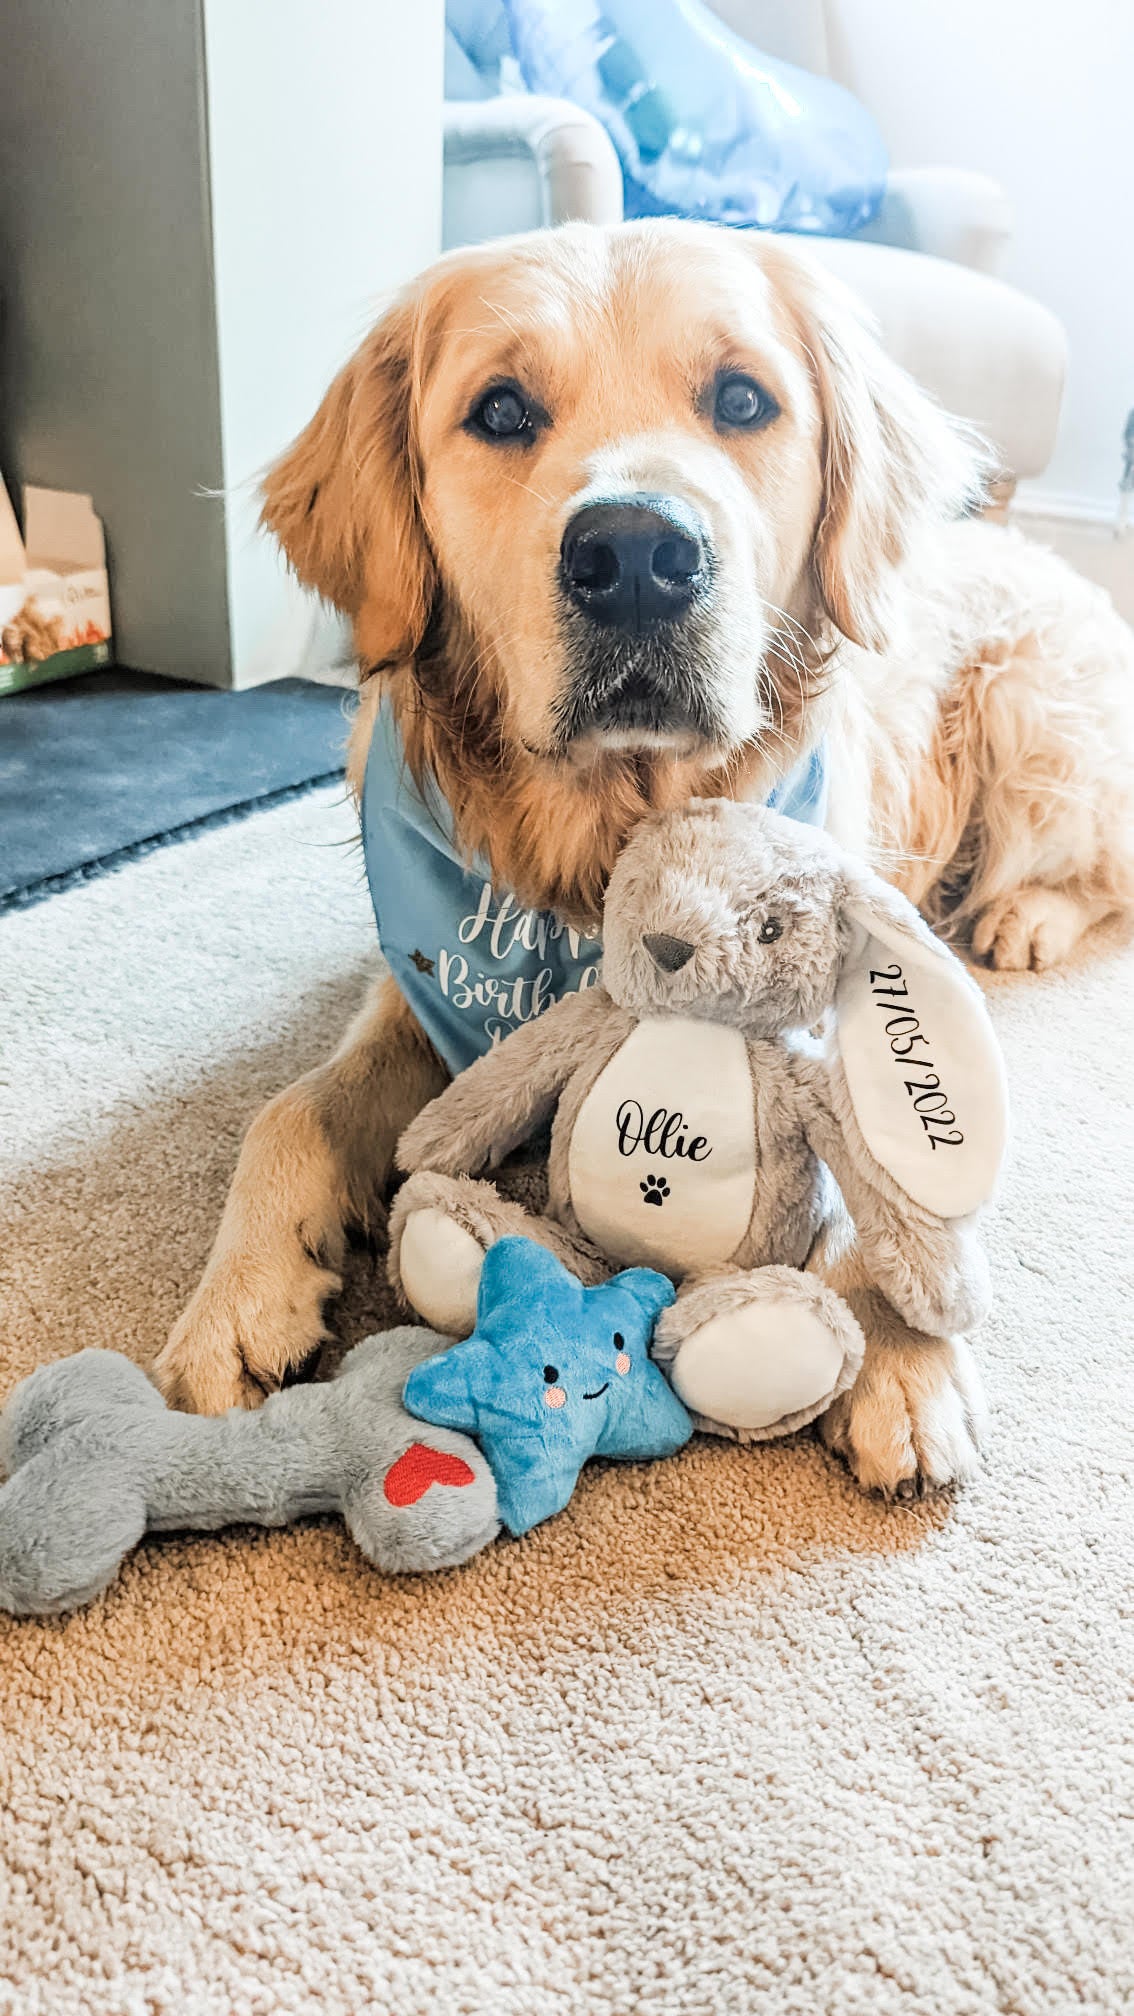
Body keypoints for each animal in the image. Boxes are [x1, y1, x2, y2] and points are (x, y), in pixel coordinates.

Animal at [156, 224, 1129, 1499]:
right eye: (502, 410)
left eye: (743, 400)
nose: (633, 556)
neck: (607, 842)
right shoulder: (411, 993)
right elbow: (293, 1107)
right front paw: (233, 1300)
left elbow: (899, 1163)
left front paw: (904, 1366)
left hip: (1034, 716)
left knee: (1098, 862)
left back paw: (1025, 919)